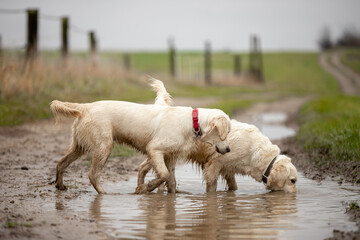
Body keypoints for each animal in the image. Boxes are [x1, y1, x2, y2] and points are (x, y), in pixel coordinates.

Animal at [50, 81, 231, 194]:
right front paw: (144, 188)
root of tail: (85, 107)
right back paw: (104, 193)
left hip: (79, 146)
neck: (191, 122)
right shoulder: (155, 149)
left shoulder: (170, 156)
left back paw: (60, 185)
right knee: (93, 174)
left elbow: (171, 182)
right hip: (104, 146)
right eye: (227, 131)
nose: (229, 149)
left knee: (61, 163)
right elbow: (163, 175)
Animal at [138, 79, 298, 192]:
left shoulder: (229, 169)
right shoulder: (215, 163)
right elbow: (212, 187)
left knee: (145, 167)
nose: (295, 195)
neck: (253, 150)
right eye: (293, 181)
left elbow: (234, 187)